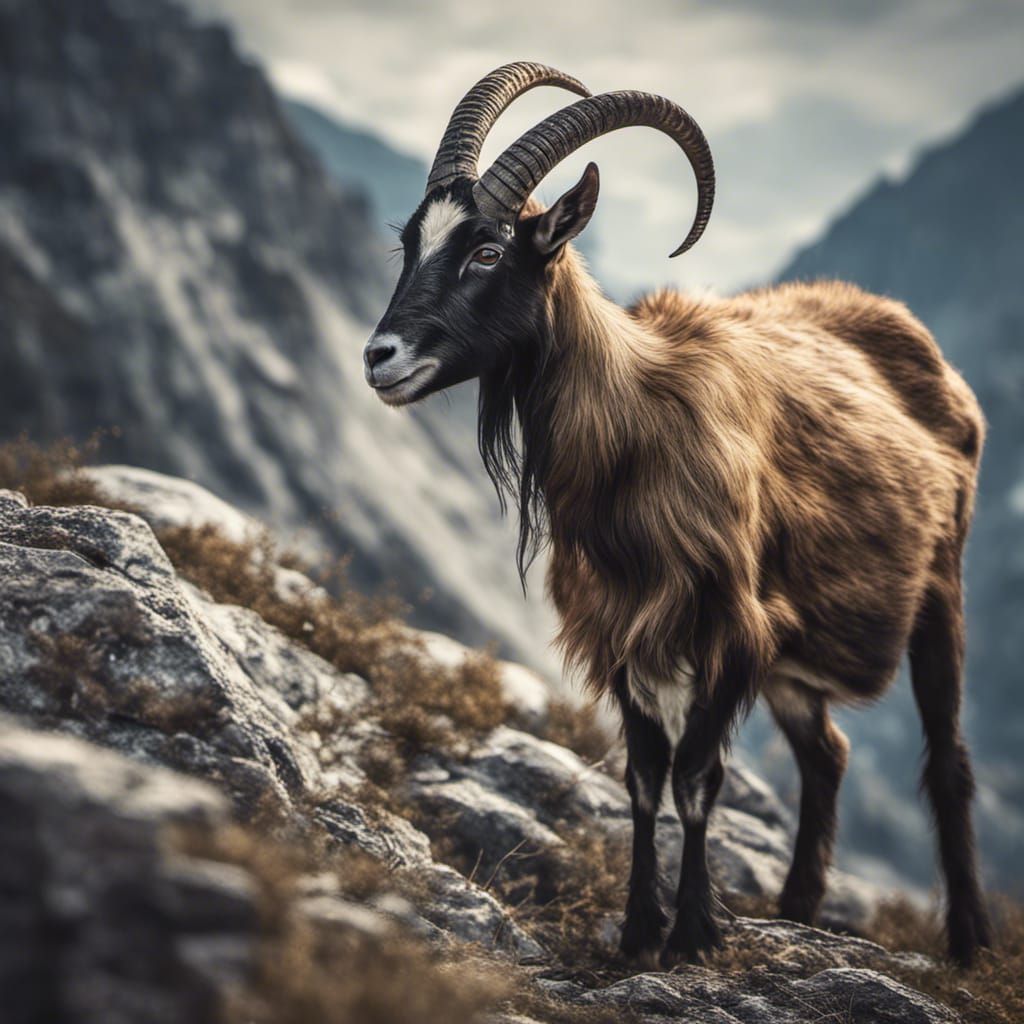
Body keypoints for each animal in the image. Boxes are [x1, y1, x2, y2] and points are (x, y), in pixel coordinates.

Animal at [364, 62, 991, 967]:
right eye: (412, 244)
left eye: (486, 250)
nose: (380, 358)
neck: (636, 435)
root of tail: (930, 358)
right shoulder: (622, 627)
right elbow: (642, 778)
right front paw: (636, 931)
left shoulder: (731, 628)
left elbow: (696, 780)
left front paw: (692, 934)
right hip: (796, 663)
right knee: (827, 754)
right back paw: (798, 908)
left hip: (939, 590)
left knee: (947, 755)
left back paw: (969, 938)